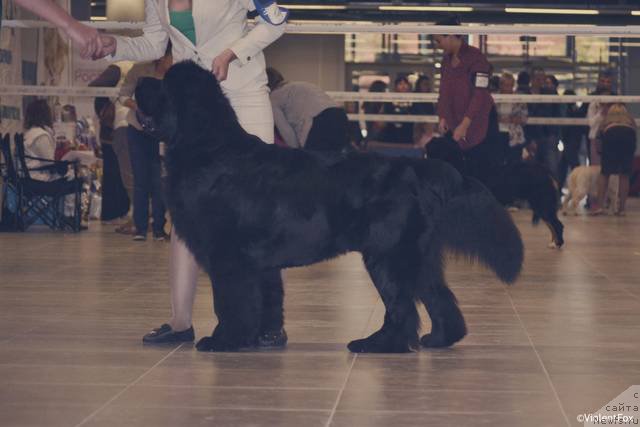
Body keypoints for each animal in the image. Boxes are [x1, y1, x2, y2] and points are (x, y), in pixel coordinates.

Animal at [136, 61, 524, 354]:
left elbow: (231, 301)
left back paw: (380, 344)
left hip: (387, 254)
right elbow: (264, 299)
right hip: (418, 255)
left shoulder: (229, 256)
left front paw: (224, 340)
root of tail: (416, 168)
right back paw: (439, 338)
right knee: (437, 296)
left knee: (401, 306)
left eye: (164, 85)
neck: (210, 148)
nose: (139, 81)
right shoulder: (255, 262)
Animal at [428, 137, 564, 249]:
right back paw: (553, 242)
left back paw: (557, 244)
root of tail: (545, 170)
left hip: (542, 202)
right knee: (552, 224)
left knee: (557, 224)